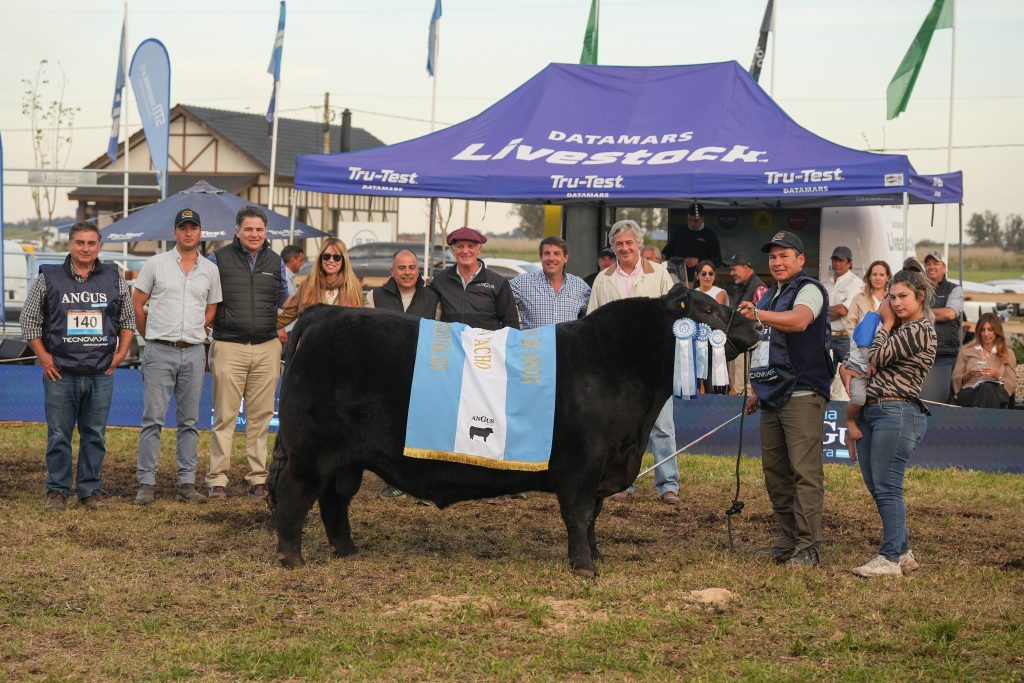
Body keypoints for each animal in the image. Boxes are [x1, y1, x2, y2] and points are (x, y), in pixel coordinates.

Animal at [268, 282, 765, 577]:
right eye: (707, 309)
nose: (756, 327)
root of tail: (325, 313)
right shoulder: (581, 467)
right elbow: (579, 515)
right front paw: (584, 567)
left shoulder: (604, 466)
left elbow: (594, 517)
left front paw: (597, 555)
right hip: (310, 451)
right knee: (296, 496)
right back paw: (292, 559)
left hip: (345, 461)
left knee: (335, 502)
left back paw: (347, 550)